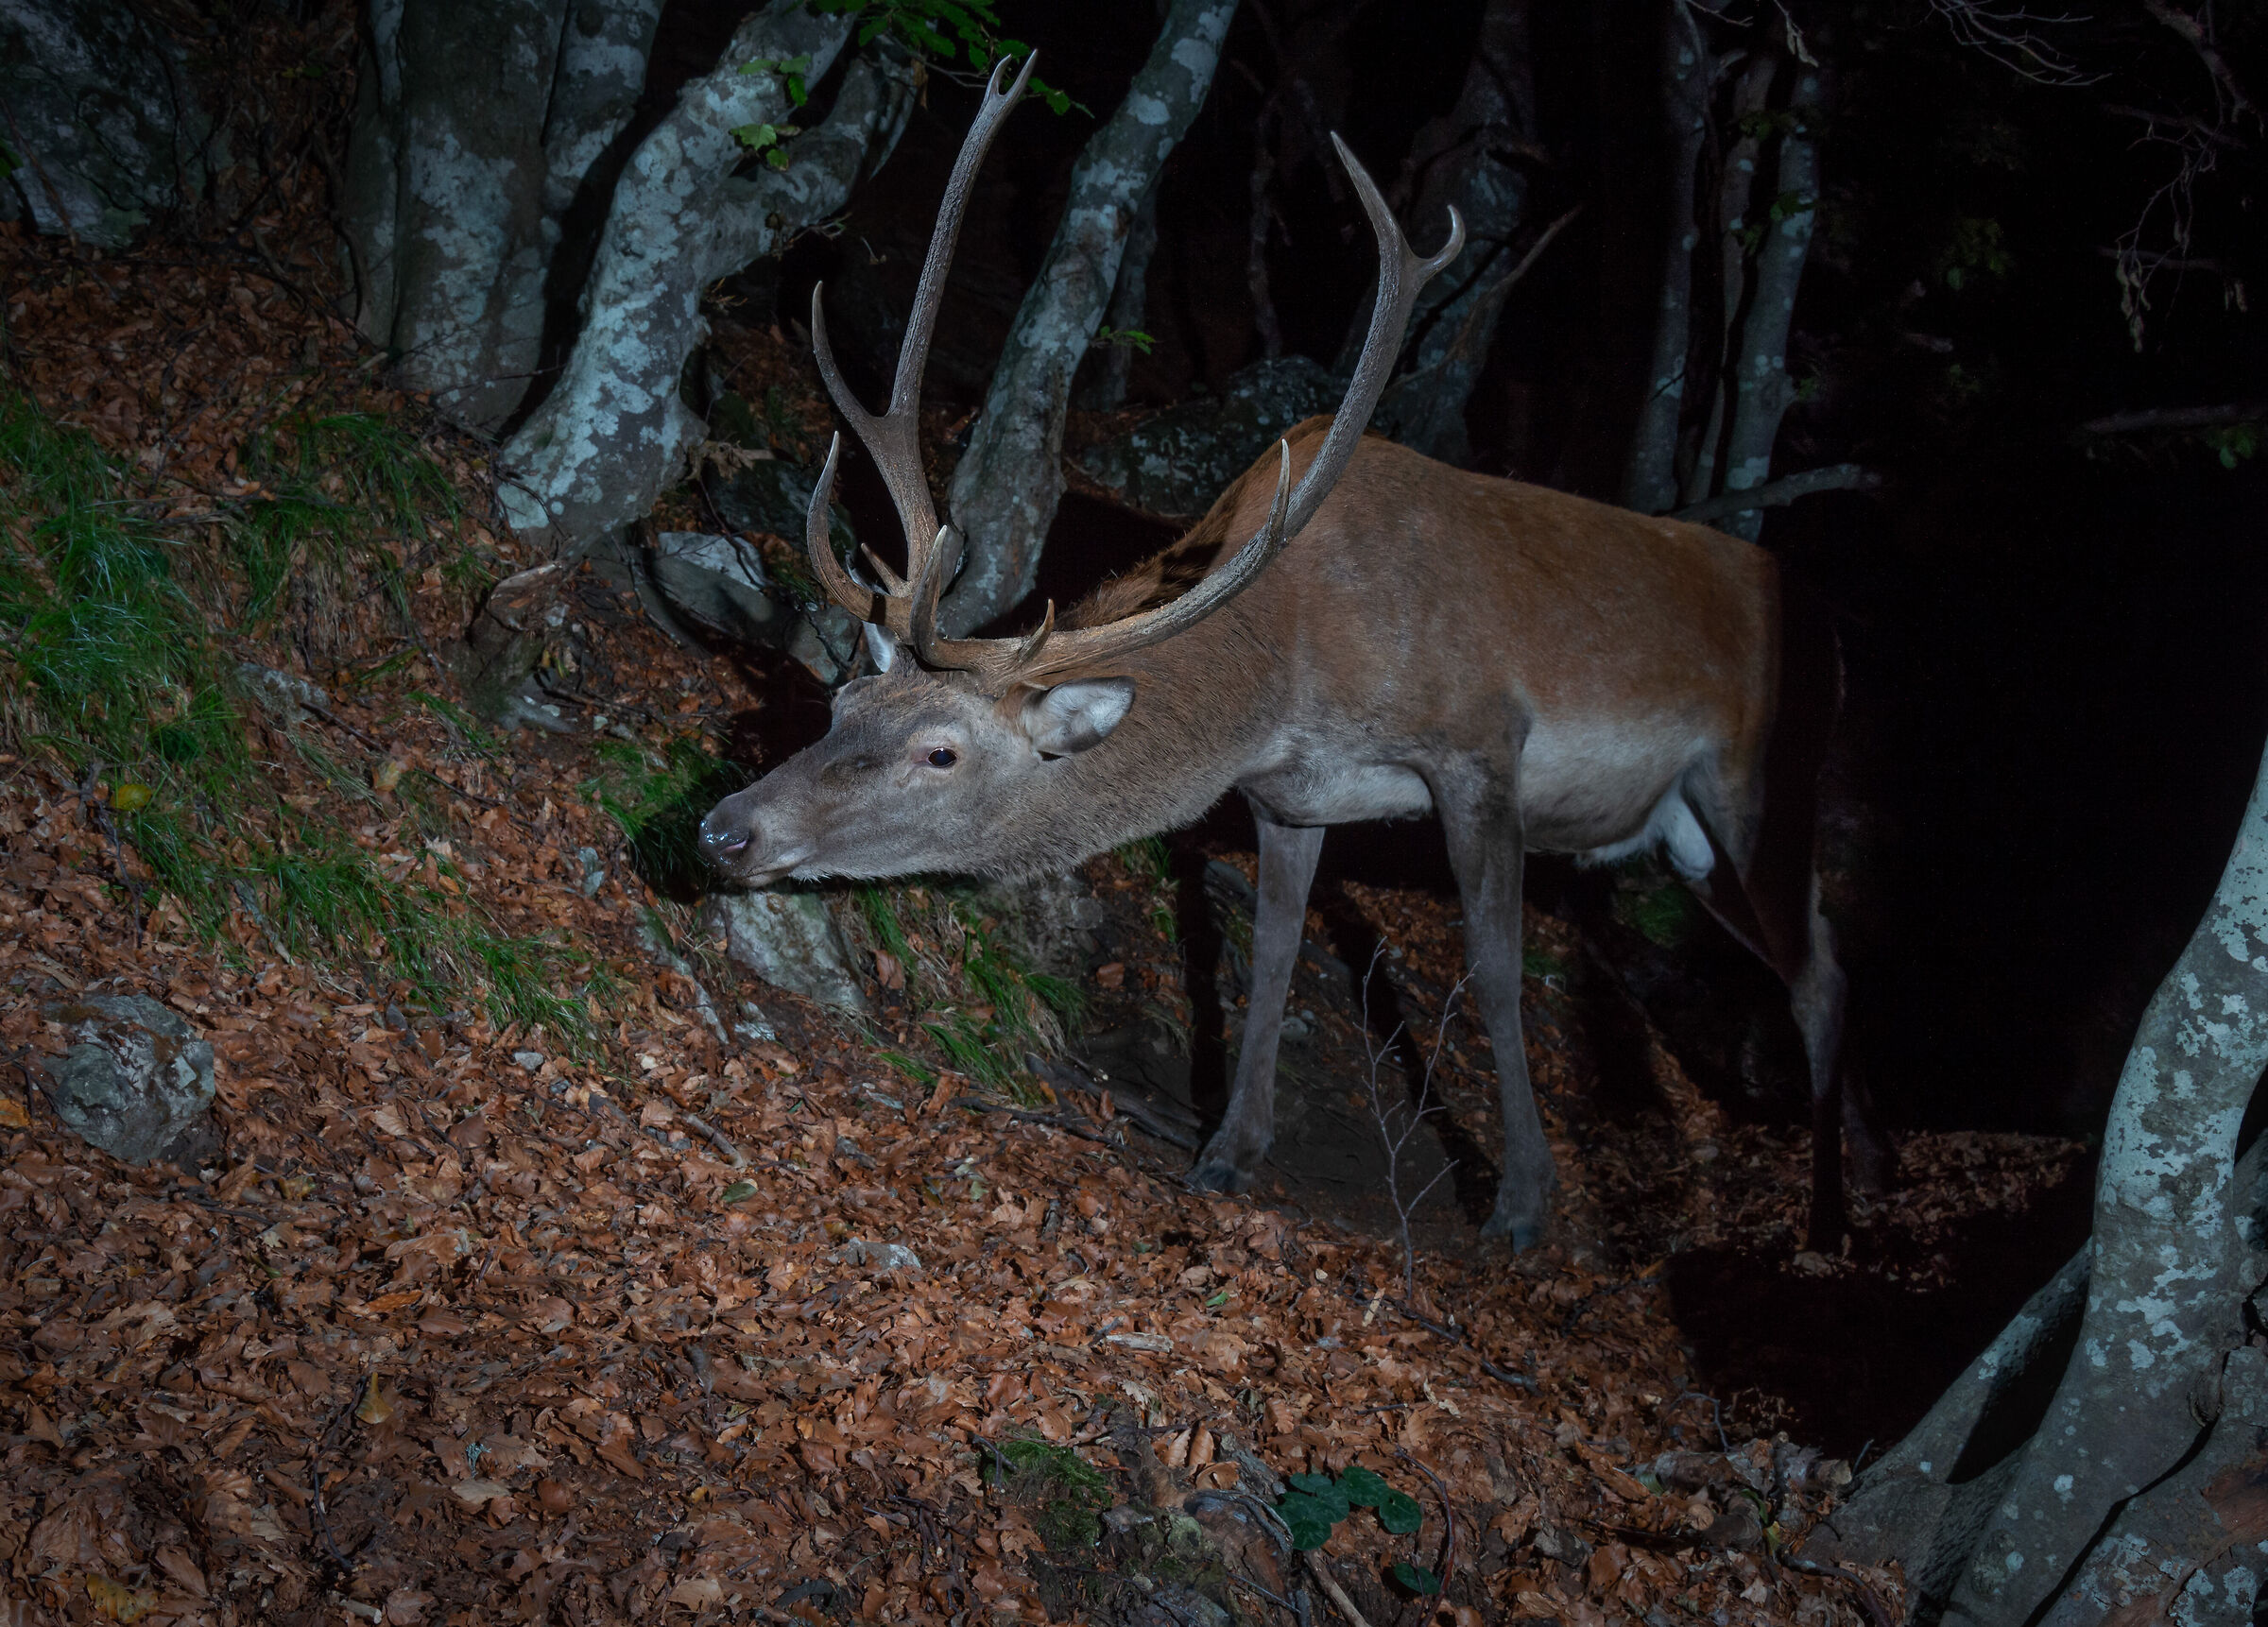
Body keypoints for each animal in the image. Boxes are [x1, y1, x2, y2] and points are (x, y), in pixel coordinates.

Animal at [698, 55, 1882, 1250]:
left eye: (941, 752)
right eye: (840, 704)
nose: (724, 829)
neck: (1290, 676)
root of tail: (1831, 632)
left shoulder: (1479, 746)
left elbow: (1494, 968)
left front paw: (1521, 1209)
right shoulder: (1289, 796)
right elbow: (1266, 957)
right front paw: (1228, 1151)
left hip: (1758, 782)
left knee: (1820, 970)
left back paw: (1831, 1217)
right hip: (1685, 841)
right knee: (1828, 955)